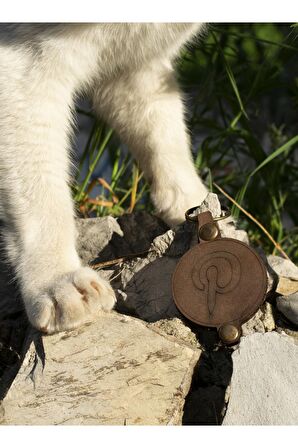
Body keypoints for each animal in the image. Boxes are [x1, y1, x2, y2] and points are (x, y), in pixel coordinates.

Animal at [0, 23, 207, 332]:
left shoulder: (136, 63)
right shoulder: (23, 63)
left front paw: (198, 206)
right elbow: (41, 194)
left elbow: (163, 135)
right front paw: (56, 280)